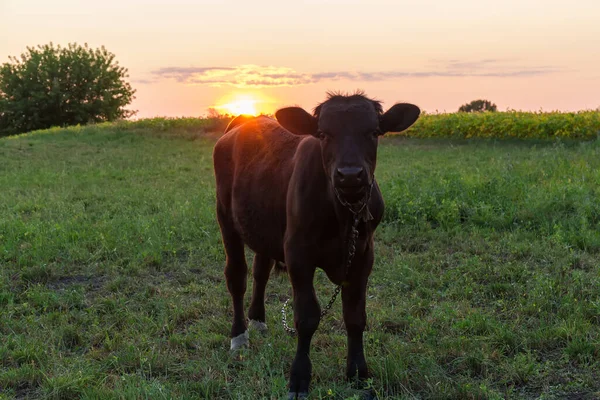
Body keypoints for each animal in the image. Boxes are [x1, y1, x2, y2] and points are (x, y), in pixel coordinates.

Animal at [213, 92, 420, 398]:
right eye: (323, 134)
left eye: (373, 132)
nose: (350, 174)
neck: (342, 216)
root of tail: (245, 120)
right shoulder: (298, 254)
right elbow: (307, 317)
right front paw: (299, 378)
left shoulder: (363, 256)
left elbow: (355, 316)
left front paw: (358, 373)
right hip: (226, 218)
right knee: (236, 276)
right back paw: (239, 336)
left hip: (263, 225)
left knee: (260, 272)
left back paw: (258, 321)